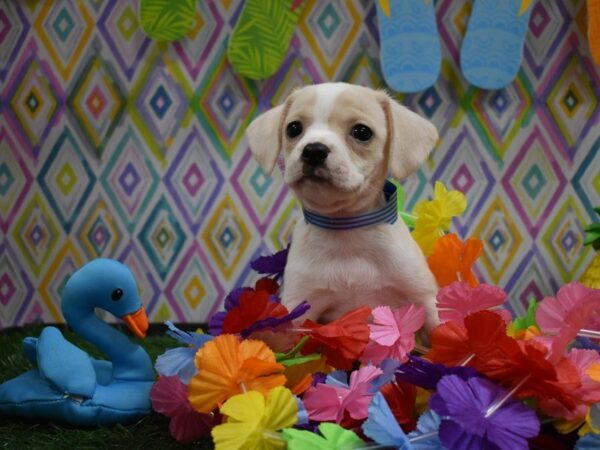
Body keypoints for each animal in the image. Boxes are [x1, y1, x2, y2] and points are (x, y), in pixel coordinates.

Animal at [245, 83, 440, 330]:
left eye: (362, 132)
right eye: (293, 128)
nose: (314, 150)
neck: (346, 231)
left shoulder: (425, 299)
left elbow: (442, 332)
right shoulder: (298, 308)